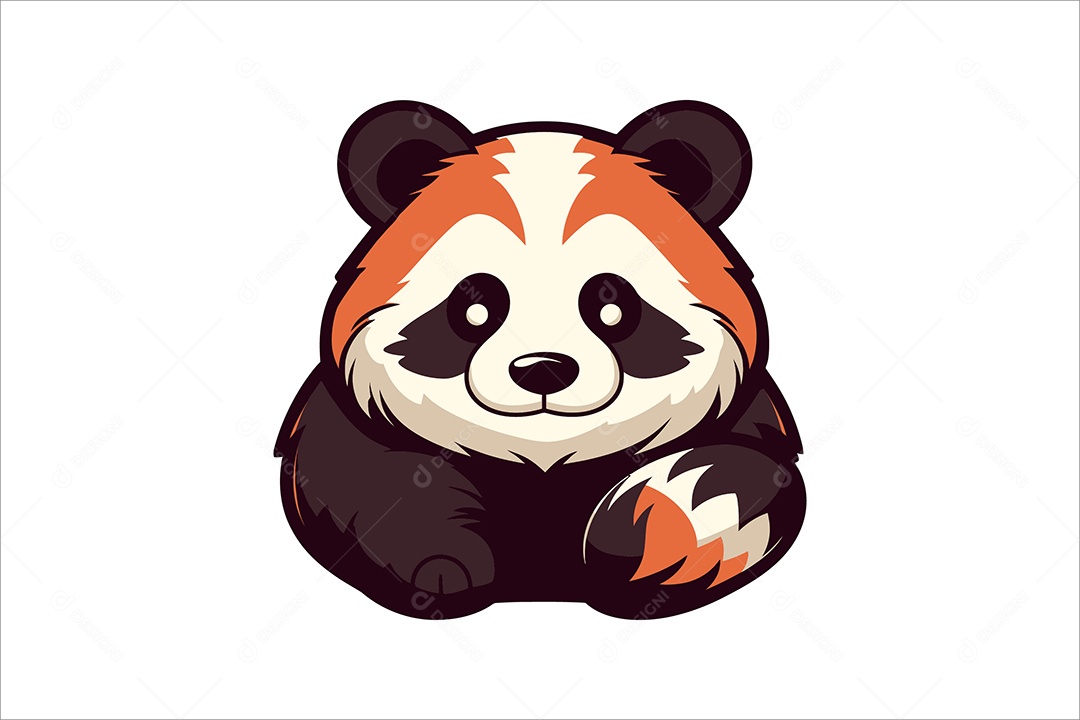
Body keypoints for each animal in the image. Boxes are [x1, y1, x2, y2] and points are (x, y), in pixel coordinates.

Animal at [276, 100, 806, 620]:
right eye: (475, 305)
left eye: (612, 304)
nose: (543, 368)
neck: (543, 459)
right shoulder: (349, 426)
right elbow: (368, 483)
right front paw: (445, 569)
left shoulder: (747, 416)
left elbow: (743, 476)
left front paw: (636, 534)